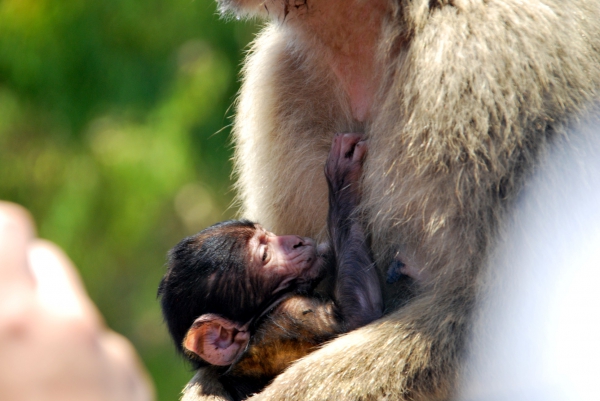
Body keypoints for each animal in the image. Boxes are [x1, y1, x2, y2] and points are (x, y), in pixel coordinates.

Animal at [159, 134, 382, 396]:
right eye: (265, 255)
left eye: (268, 234)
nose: (294, 242)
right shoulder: (293, 316)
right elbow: (359, 316)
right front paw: (341, 179)